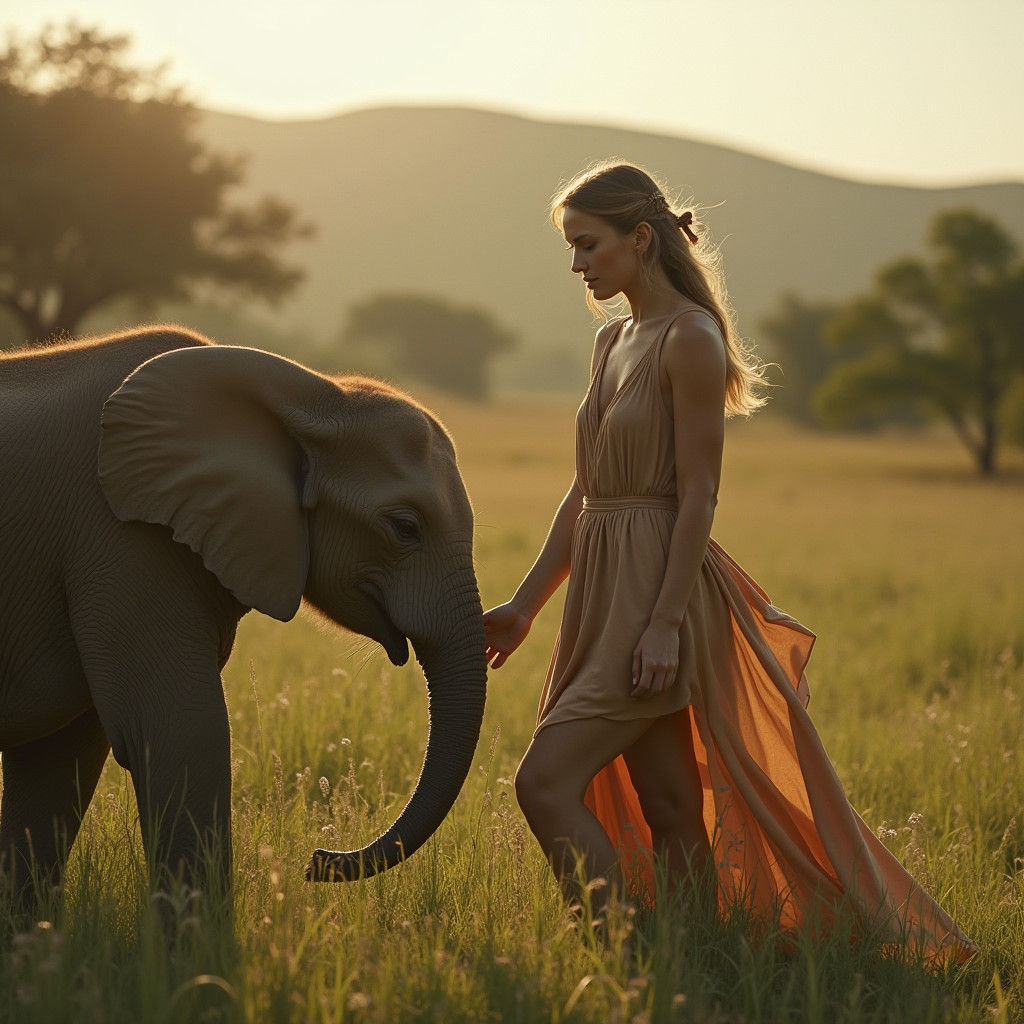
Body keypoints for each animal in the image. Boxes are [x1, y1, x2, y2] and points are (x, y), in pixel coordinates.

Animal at [0, 325, 487, 909]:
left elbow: (56, 762)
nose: (317, 860)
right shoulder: (123, 540)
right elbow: (186, 731)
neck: (314, 394)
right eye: (405, 527)